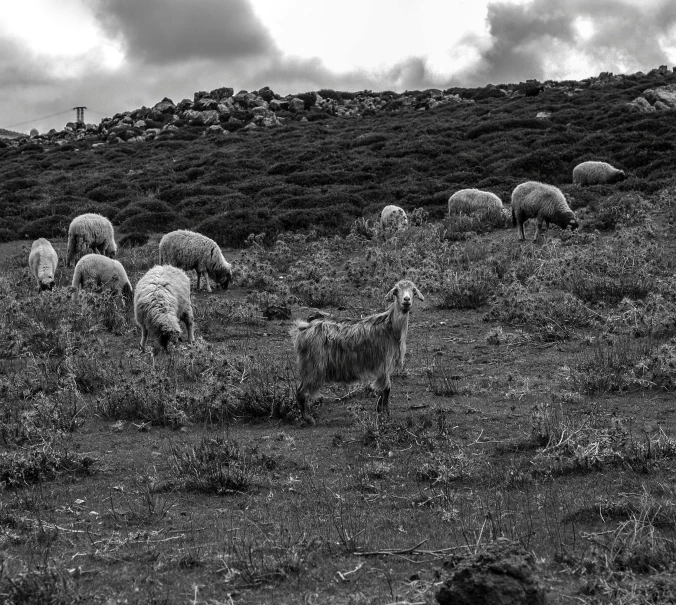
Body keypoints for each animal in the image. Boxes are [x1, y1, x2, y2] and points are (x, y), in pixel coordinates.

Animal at [290, 278, 422, 424]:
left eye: (413, 290)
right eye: (396, 290)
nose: (406, 300)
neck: (391, 327)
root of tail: (303, 328)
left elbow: (383, 390)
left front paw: (380, 410)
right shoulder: (384, 363)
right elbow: (387, 388)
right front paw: (386, 414)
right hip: (313, 365)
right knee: (302, 391)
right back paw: (308, 419)